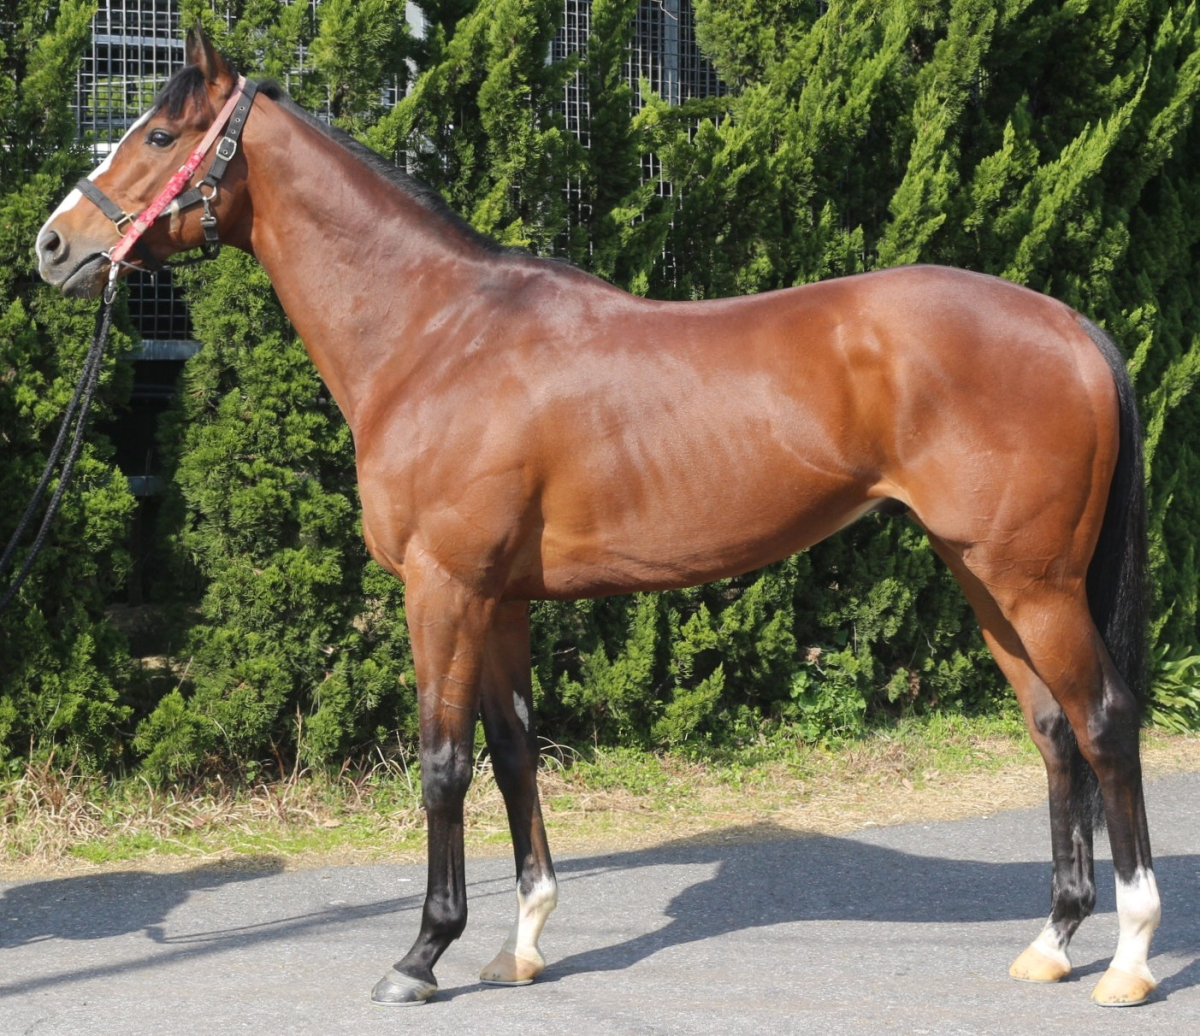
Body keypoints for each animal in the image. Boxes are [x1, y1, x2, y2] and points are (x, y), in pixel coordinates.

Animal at [36, 28, 1159, 1008]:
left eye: (160, 135)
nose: (54, 245)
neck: (435, 334)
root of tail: (1070, 325)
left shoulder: (443, 588)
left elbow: (442, 765)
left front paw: (421, 954)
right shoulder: (500, 600)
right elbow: (513, 750)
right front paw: (521, 942)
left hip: (1033, 584)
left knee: (1104, 723)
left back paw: (1129, 958)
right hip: (985, 578)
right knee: (1053, 731)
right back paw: (1052, 942)